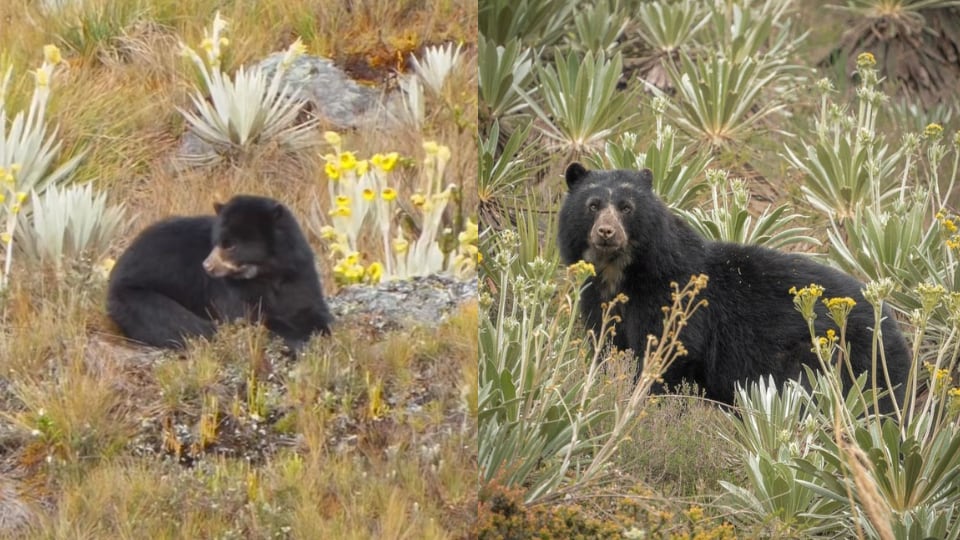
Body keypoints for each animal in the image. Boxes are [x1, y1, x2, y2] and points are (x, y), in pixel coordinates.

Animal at [107, 194, 334, 350]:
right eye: (216, 241)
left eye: (230, 245)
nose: (207, 265)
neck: (267, 273)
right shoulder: (228, 289)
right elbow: (248, 316)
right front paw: (295, 340)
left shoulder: (298, 272)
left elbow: (308, 305)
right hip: (135, 298)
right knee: (178, 321)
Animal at [556, 163, 908, 410]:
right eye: (593, 205)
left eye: (626, 207)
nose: (606, 232)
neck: (621, 273)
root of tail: (895, 329)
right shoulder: (599, 302)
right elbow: (607, 347)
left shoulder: (672, 298)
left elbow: (668, 356)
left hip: (847, 365)